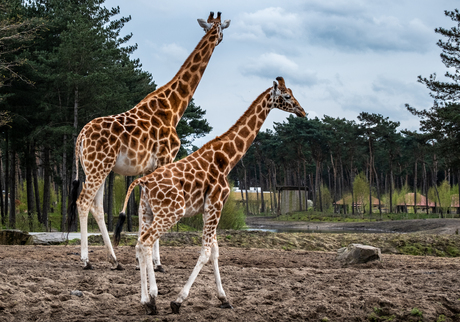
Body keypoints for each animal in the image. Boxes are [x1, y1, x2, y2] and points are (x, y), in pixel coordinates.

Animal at [68, 11, 232, 270]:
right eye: (220, 29)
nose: (220, 40)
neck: (174, 107)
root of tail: (81, 137)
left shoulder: (150, 167)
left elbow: (145, 209)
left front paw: (142, 261)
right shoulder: (165, 158)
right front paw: (156, 262)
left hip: (97, 167)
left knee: (96, 206)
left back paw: (114, 260)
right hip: (98, 166)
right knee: (83, 201)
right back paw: (86, 260)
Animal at [112, 76, 306, 314]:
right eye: (287, 96)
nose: (302, 111)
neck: (227, 159)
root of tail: (143, 181)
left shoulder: (208, 209)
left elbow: (215, 251)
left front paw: (224, 299)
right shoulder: (216, 204)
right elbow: (205, 252)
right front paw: (178, 300)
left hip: (147, 211)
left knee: (139, 244)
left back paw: (146, 301)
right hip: (171, 212)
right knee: (146, 242)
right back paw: (152, 298)